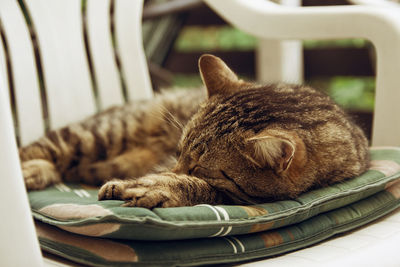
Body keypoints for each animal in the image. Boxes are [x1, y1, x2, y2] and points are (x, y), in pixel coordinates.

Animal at [18, 55, 368, 209]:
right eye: (179, 150)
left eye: (199, 165)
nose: (173, 167)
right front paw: (157, 181)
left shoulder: (232, 193)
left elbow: (201, 187)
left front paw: (159, 186)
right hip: (96, 134)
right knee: (36, 150)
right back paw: (28, 171)